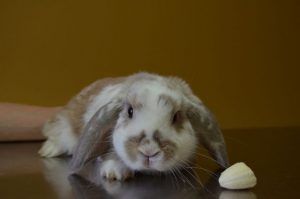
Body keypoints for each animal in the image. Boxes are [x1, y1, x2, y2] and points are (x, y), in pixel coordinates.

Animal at [38, 72, 229, 181]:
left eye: (176, 117)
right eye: (129, 111)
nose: (149, 152)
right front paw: (115, 172)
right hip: (62, 125)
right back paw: (48, 150)